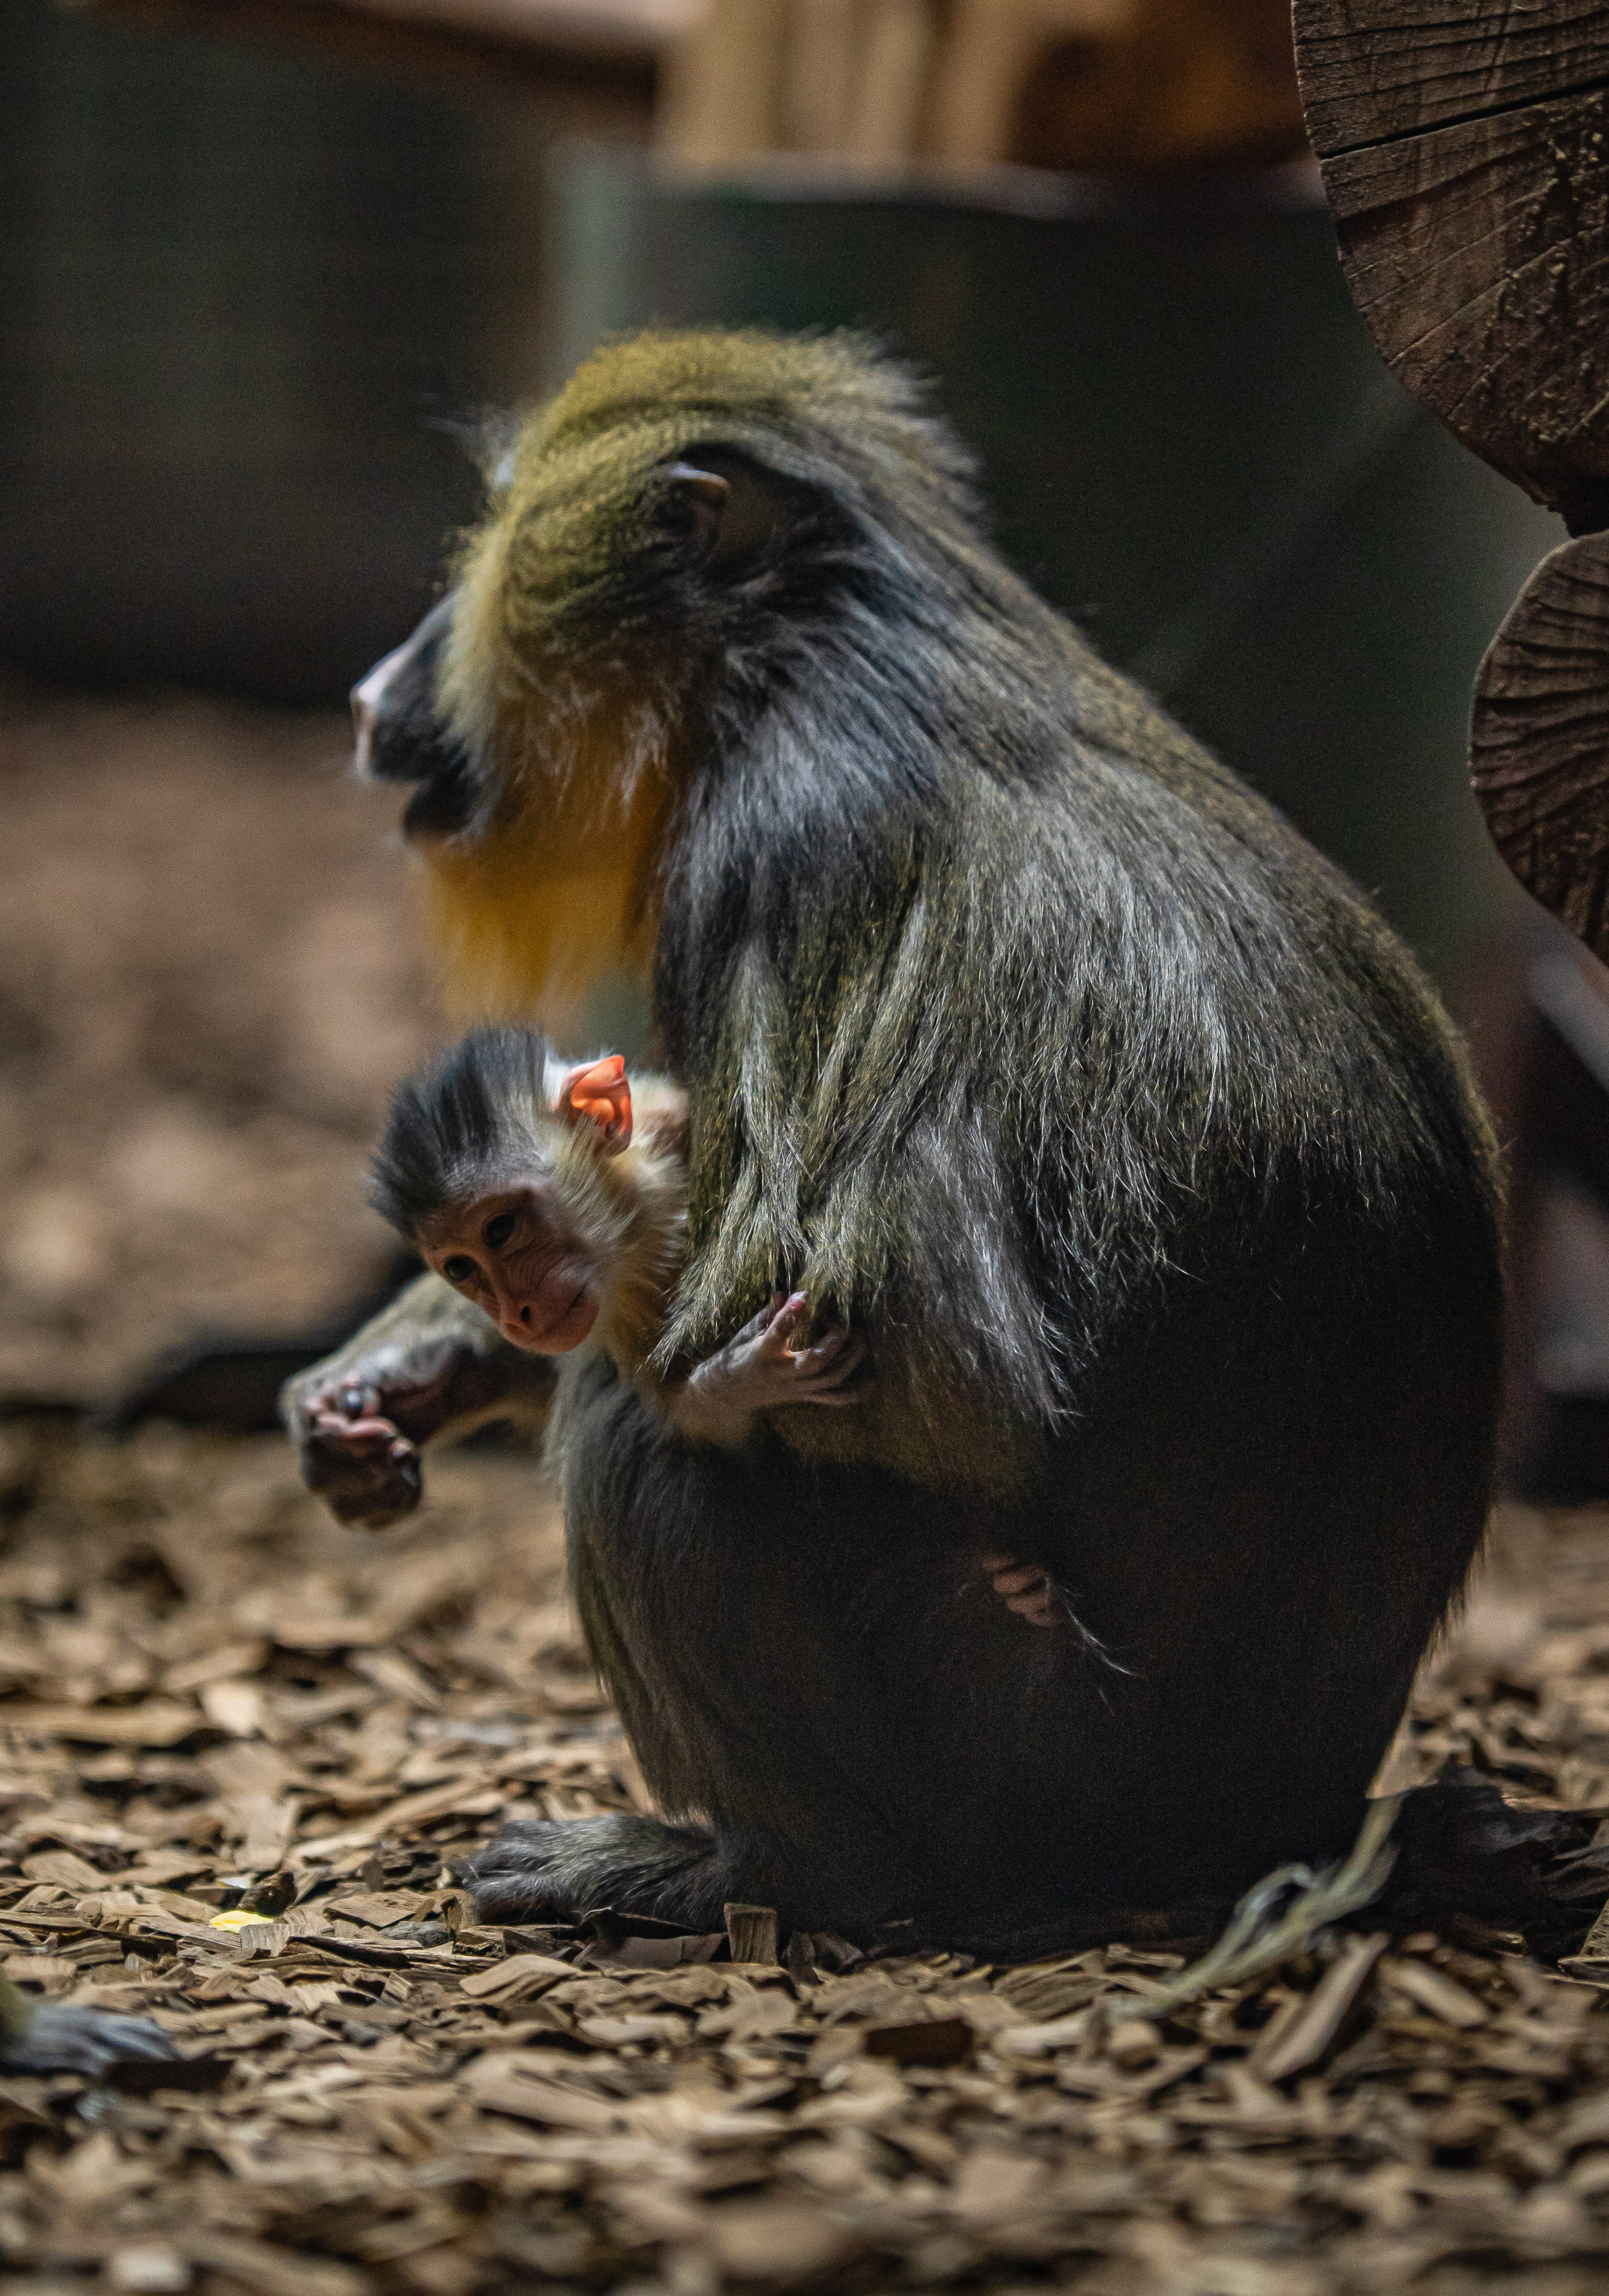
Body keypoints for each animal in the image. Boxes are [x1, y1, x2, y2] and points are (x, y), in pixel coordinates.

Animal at [286, 324, 1496, 1938]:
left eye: (485, 548)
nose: (371, 690)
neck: (815, 658)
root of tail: (1254, 1825)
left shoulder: (781, 844)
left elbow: (944, 1383)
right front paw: (395, 1374)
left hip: (1005, 1730)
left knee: (632, 1442)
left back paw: (763, 1869)